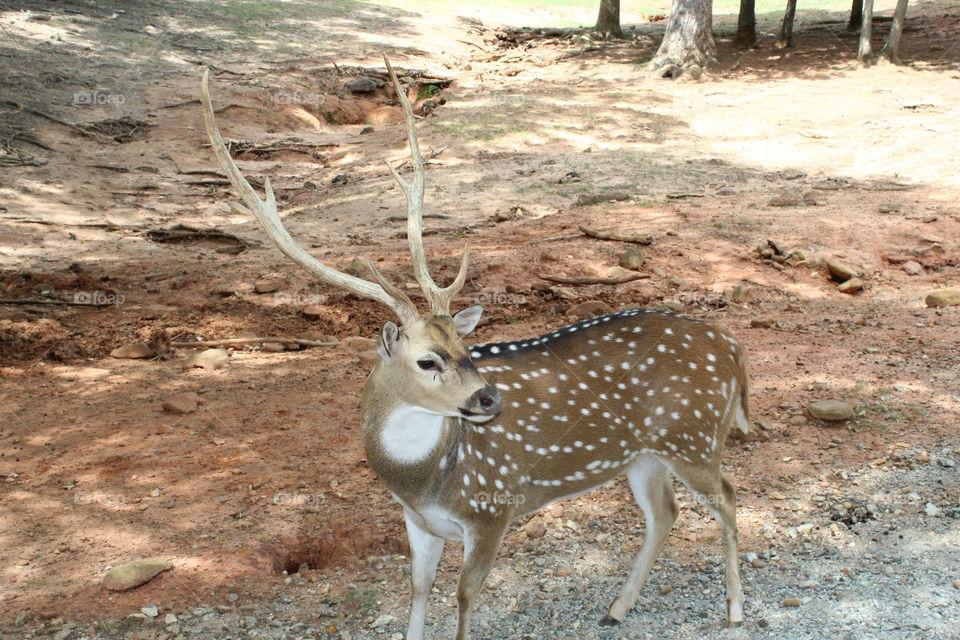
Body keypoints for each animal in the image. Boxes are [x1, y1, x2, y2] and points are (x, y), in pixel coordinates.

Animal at [199, 58, 750, 640]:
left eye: (466, 345)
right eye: (427, 359)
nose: (489, 400)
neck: (424, 481)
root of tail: (733, 348)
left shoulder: (492, 506)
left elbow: (464, 598)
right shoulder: (417, 523)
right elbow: (417, 591)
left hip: (692, 436)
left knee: (728, 497)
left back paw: (734, 610)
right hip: (646, 453)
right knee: (665, 511)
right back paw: (617, 607)